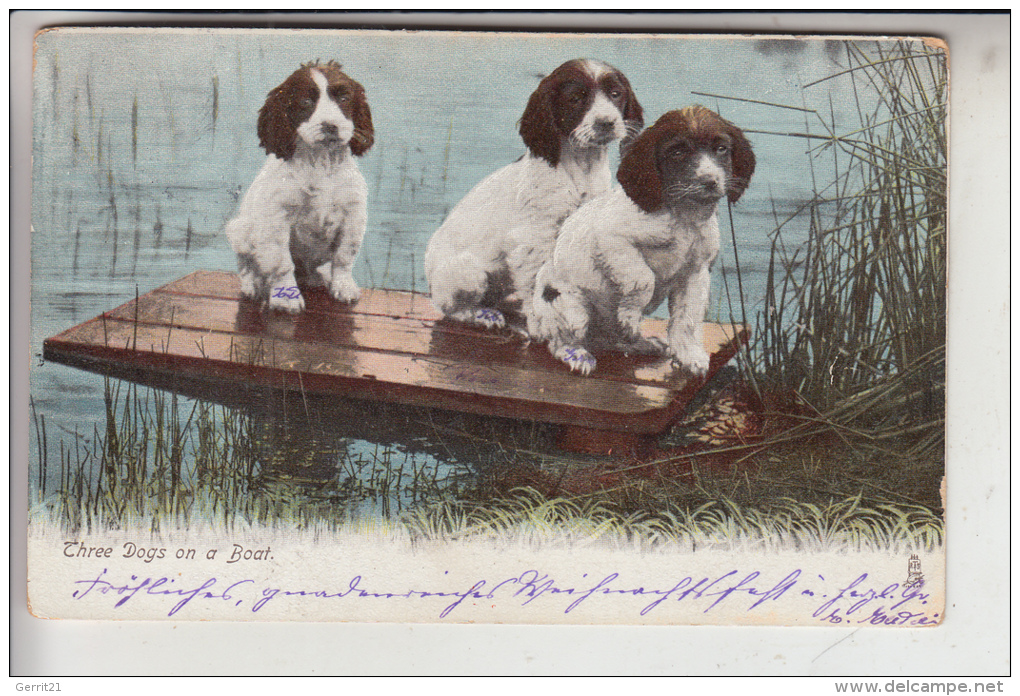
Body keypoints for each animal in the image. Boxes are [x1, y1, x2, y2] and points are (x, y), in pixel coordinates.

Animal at [225, 61, 377, 312]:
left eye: (344, 98)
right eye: (305, 102)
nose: (330, 126)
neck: (321, 163)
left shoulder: (353, 214)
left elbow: (344, 256)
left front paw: (343, 286)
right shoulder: (277, 217)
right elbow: (282, 263)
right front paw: (286, 297)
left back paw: (315, 278)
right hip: (240, 229)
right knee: (247, 263)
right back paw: (252, 285)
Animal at [530, 107, 754, 377]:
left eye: (721, 148)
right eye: (677, 152)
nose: (710, 182)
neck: (682, 216)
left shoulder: (695, 272)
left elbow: (687, 318)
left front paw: (690, 356)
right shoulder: (612, 240)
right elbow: (642, 278)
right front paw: (630, 316)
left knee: (611, 341)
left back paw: (642, 343)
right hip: (570, 309)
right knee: (561, 340)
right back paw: (579, 355)